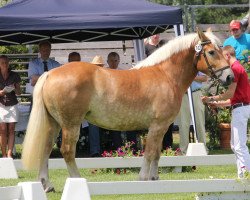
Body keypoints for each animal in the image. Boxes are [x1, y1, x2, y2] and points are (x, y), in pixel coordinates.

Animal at [22, 28, 234, 192]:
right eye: (211, 52)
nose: (230, 77)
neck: (165, 75)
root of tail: (50, 73)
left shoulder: (162, 127)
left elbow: (157, 153)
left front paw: (155, 178)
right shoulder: (157, 126)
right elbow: (149, 152)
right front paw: (143, 178)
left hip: (54, 124)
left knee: (45, 149)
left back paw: (47, 185)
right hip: (70, 125)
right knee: (66, 151)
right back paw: (77, 181)